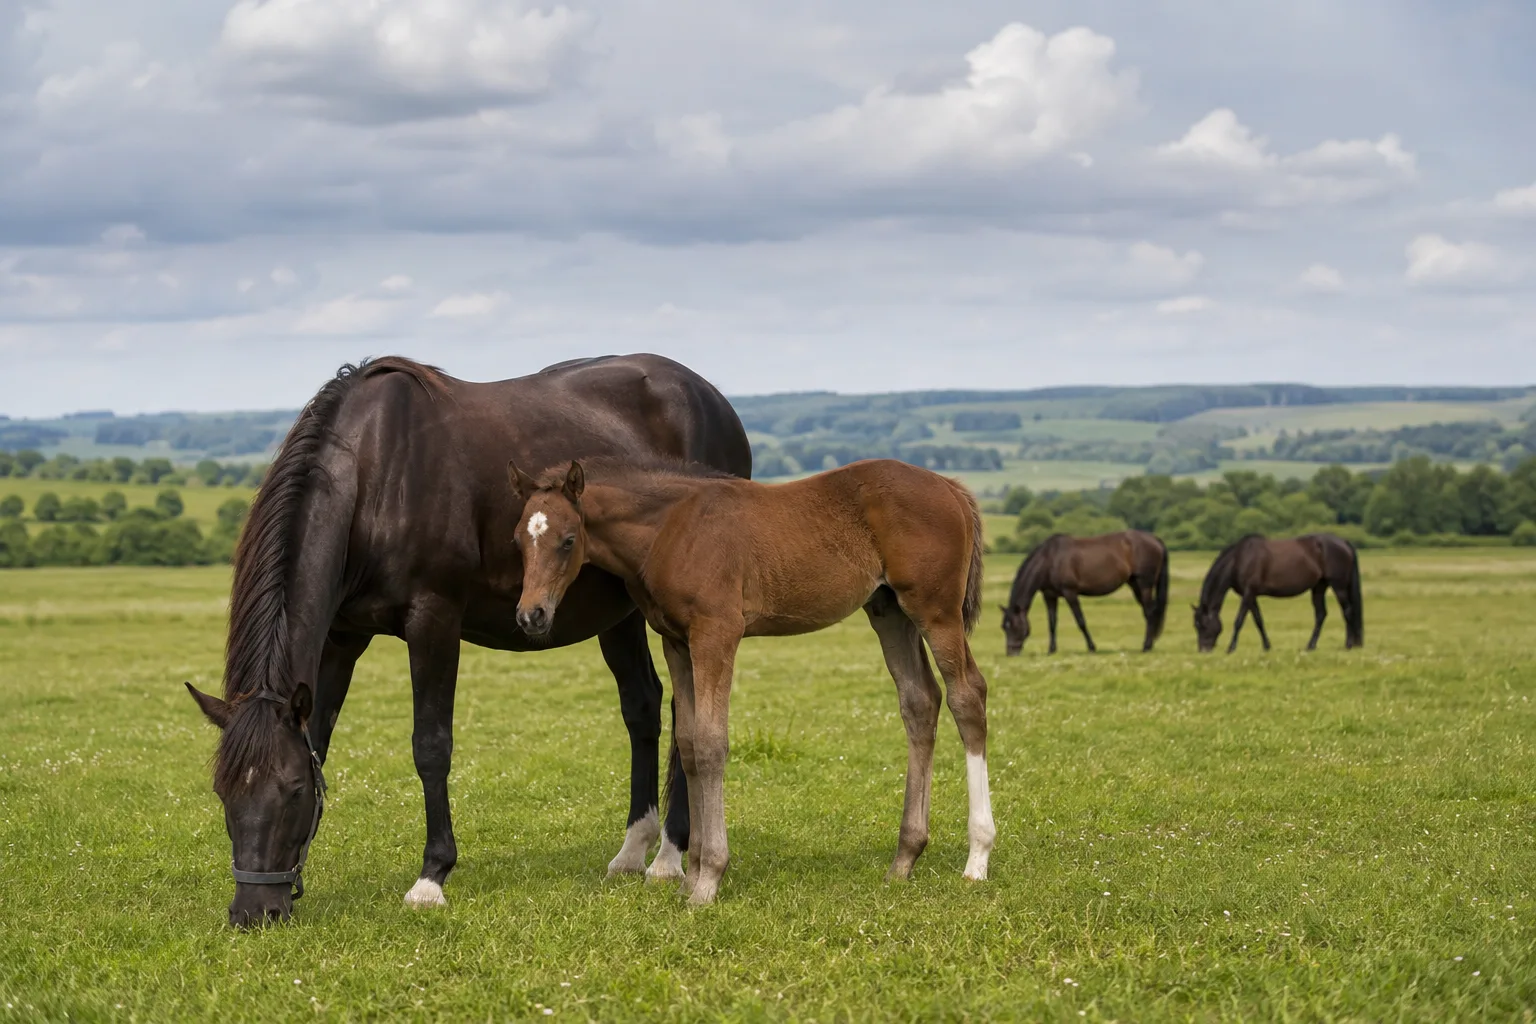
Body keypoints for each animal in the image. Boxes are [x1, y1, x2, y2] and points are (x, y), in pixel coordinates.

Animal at [183, 355, 751, 927]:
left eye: (293, 790)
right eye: (222, 791)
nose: (253, 911)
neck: (376, 474)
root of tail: (709, 396)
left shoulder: (433, 620)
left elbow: (431, 746)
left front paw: (431, 877)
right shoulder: (341, 639)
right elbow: (319, 737)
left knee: (683, 715)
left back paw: (670, 856)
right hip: (618, 613)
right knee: (643, 706)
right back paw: (634, 849)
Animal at [509, 457, 994, 905]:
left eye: (568, 540)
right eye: (517, 540)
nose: (532, 615)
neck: (670, 528)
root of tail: (950, 487)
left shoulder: (717, 633)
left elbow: (711, 744)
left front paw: (708, 879)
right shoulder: (676, 642)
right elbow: (688, 745)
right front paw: (692, 870)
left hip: (935, 609)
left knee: (967, 695)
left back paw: (977, 859)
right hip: (888, 609)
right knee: (920, 701)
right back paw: (904, 860)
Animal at [1000, 531, 1169, 655]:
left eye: (1013, 625)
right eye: (1004, 627)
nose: (1011, 653)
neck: (1050, 560)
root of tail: (1155, 540)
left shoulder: (1070, 593)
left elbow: (1080, 620)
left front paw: (1092, 647)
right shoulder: (1049, 595)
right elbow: (1052, 622)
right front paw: (1051, 650)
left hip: (1144, 585)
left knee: (1149, 612)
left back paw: (1146, 646)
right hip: (1135, 584)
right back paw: (1150, 644)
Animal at [1193, 533, 1363, 653]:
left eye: (1201, 624)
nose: (1203, 650)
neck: (1239, 560)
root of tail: (1344, 543)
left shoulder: (1248, 593)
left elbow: (1239, 620)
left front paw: (1231, 648)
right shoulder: (1251, 595)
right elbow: (1258, 620)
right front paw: (1267, 646)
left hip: (1339, 586)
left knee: (1347, 610)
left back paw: (1348, 645)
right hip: (1319, 587)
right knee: (1321, 614)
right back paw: (1310, 646)